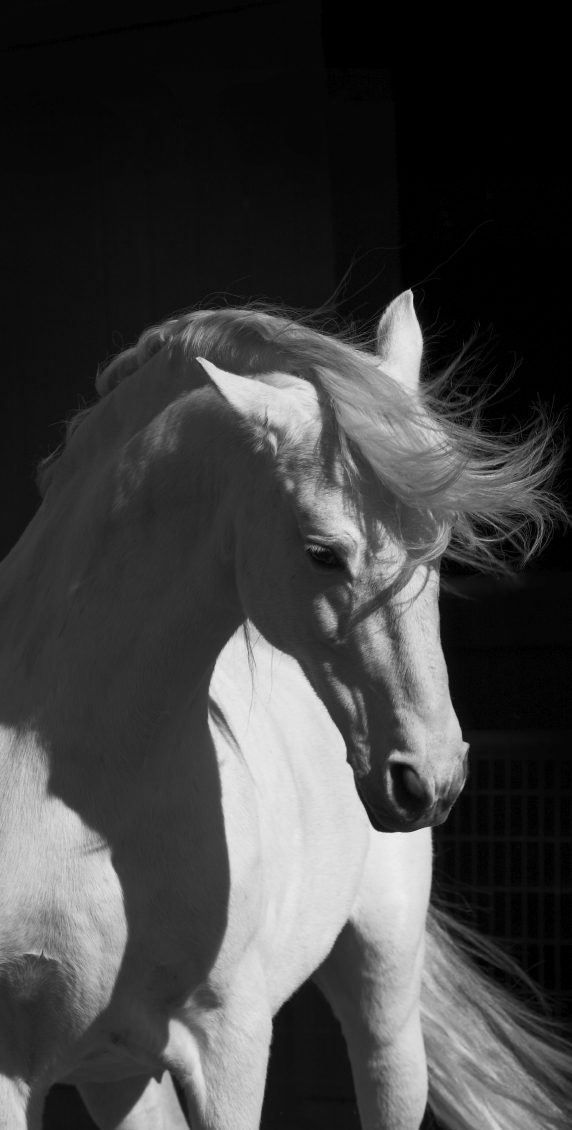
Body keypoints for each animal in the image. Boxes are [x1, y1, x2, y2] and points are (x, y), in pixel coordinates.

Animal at [0, 293, 569, 1130]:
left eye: (438, 549)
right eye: (322, 553)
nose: (428, 781)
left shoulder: (228, 1044)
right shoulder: (19, 1069)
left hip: (383, 1002)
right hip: (119, 1076)